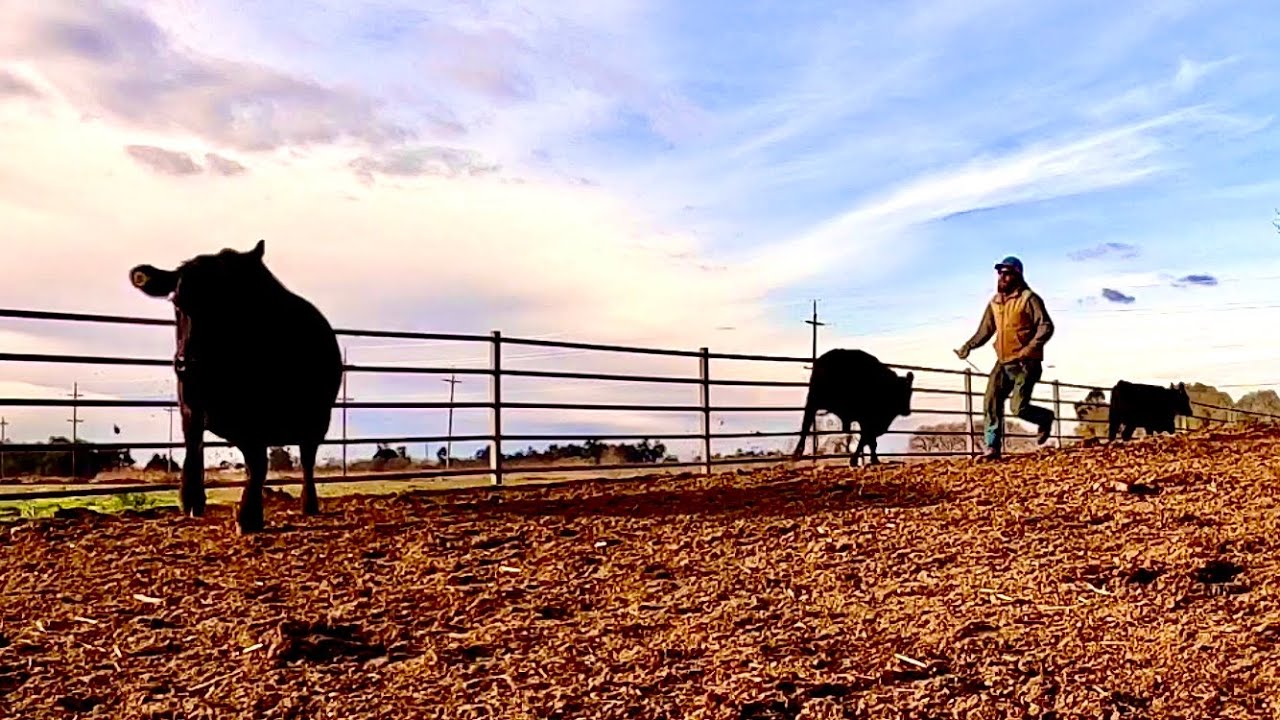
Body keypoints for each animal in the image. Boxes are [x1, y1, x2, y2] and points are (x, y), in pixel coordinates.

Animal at [129, 240, 343, 534]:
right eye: (177, 303)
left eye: (226, 305)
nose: (186, 363)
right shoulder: (190, 407)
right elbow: (194, 450)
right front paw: (192, 499)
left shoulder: (257, 417)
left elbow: (259, 463)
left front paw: (249, 515)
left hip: (317, 417)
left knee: (307, 456)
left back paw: (308, 504)